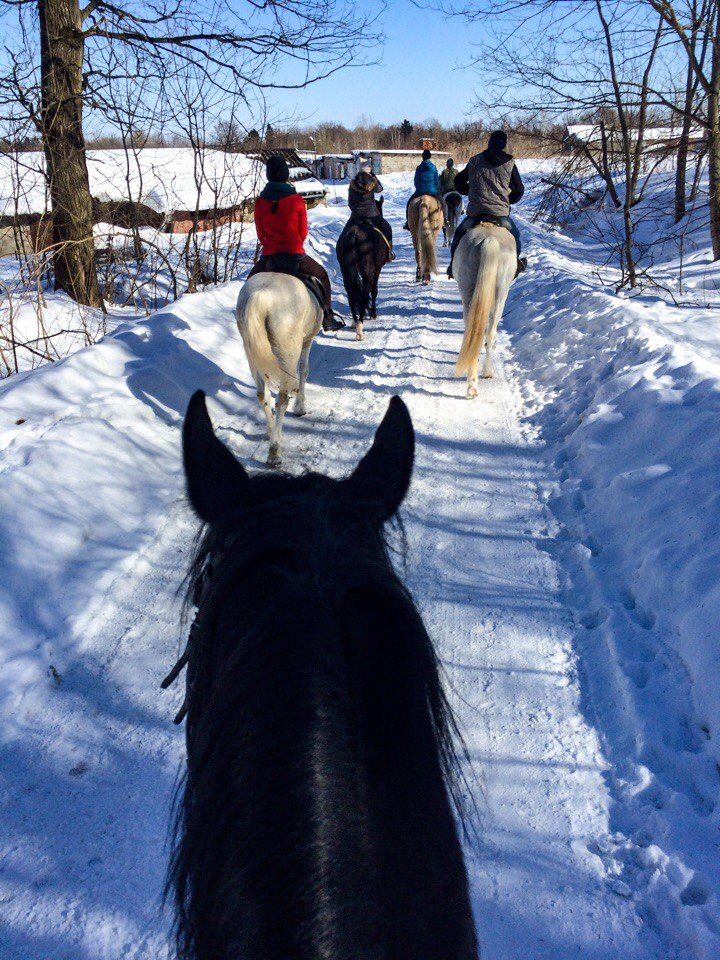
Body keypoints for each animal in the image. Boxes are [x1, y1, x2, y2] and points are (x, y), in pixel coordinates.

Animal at [236, 272, 322, 467]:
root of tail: (263, 294)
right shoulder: (307, 341)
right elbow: (303, 370)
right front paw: (300, 407)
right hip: (286, 351)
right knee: (282, 399)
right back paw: (274, 452)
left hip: (253, 354)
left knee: (262, 394)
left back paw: (271, 433)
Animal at [454, 222, 516, 398]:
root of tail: (489, 241)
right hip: (501, 295)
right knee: (490, 334)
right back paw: (487, 372)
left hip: (469, 292)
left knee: (473, 332)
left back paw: (472, 385)